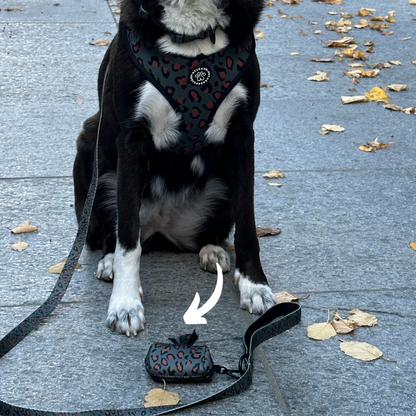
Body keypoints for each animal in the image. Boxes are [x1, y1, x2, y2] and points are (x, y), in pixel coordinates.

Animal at [75, 0, 276, 336]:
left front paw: (254, 285)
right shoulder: (132, 139)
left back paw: (212, 250)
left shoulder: (242, 135)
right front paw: (125, 304)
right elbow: (127, 236)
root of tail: (162, 227)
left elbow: (248, 224)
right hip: (94, 152)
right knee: (112, 232)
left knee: (214, 229)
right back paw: (110, 260)